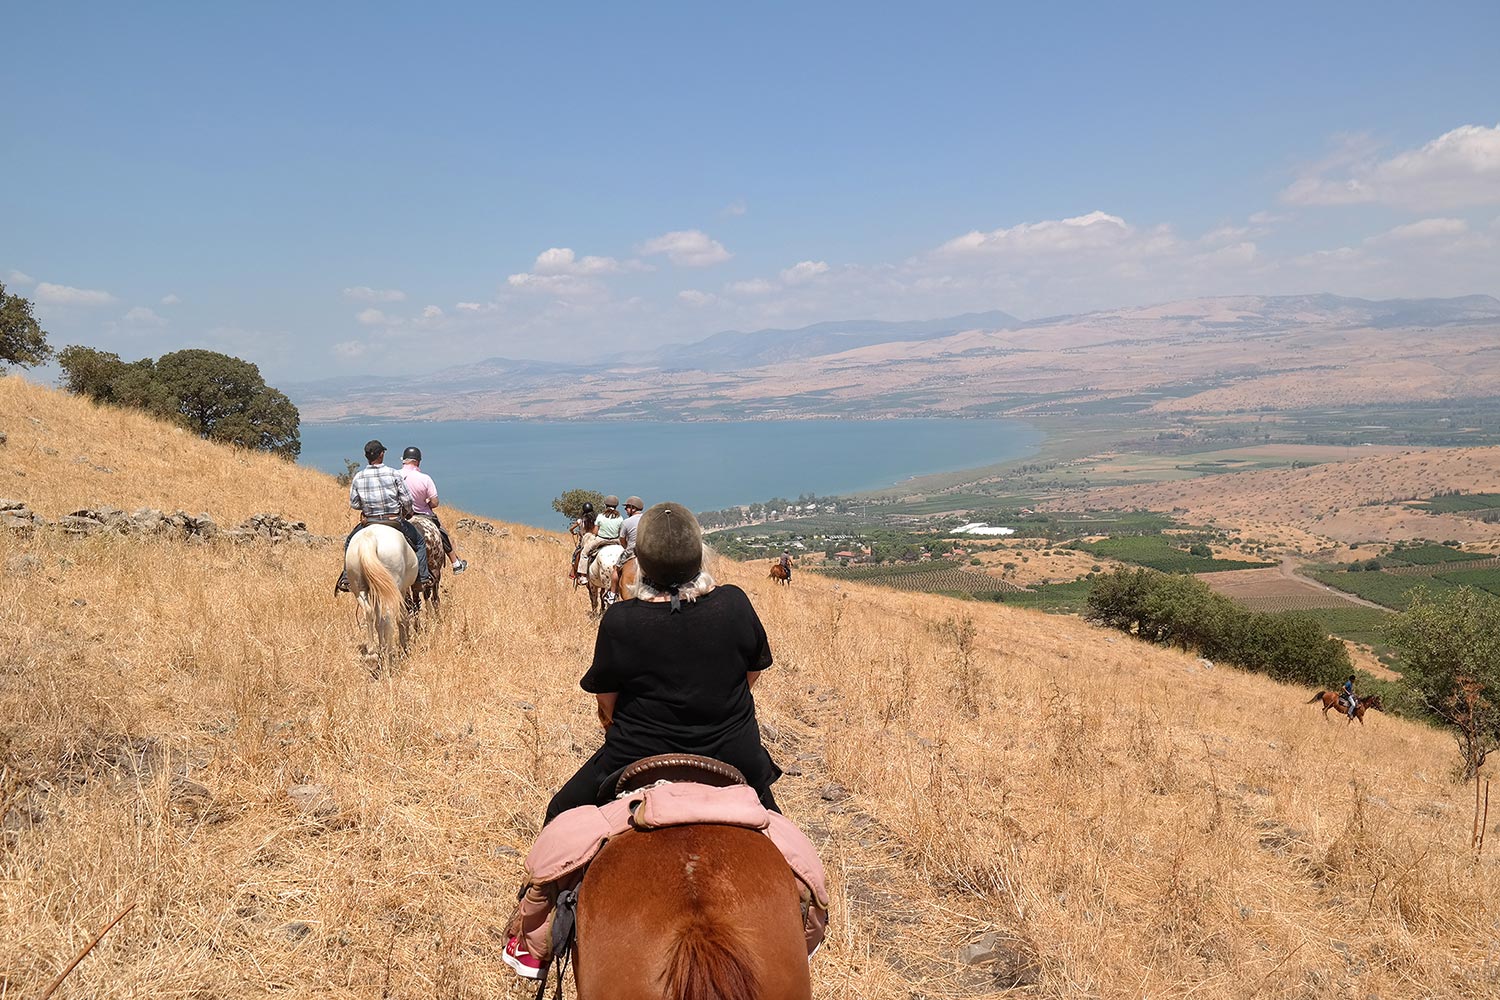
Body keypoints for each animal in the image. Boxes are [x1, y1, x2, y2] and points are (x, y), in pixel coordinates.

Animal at [343, 524, 420, 671]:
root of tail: (369, 538)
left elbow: (379, 623)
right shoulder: (400, 591)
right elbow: (402, 618)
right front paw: (404, 646)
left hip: (359, 589)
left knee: (369, 613)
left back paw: (372, 652)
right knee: (389, 618)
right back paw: (389, 659)